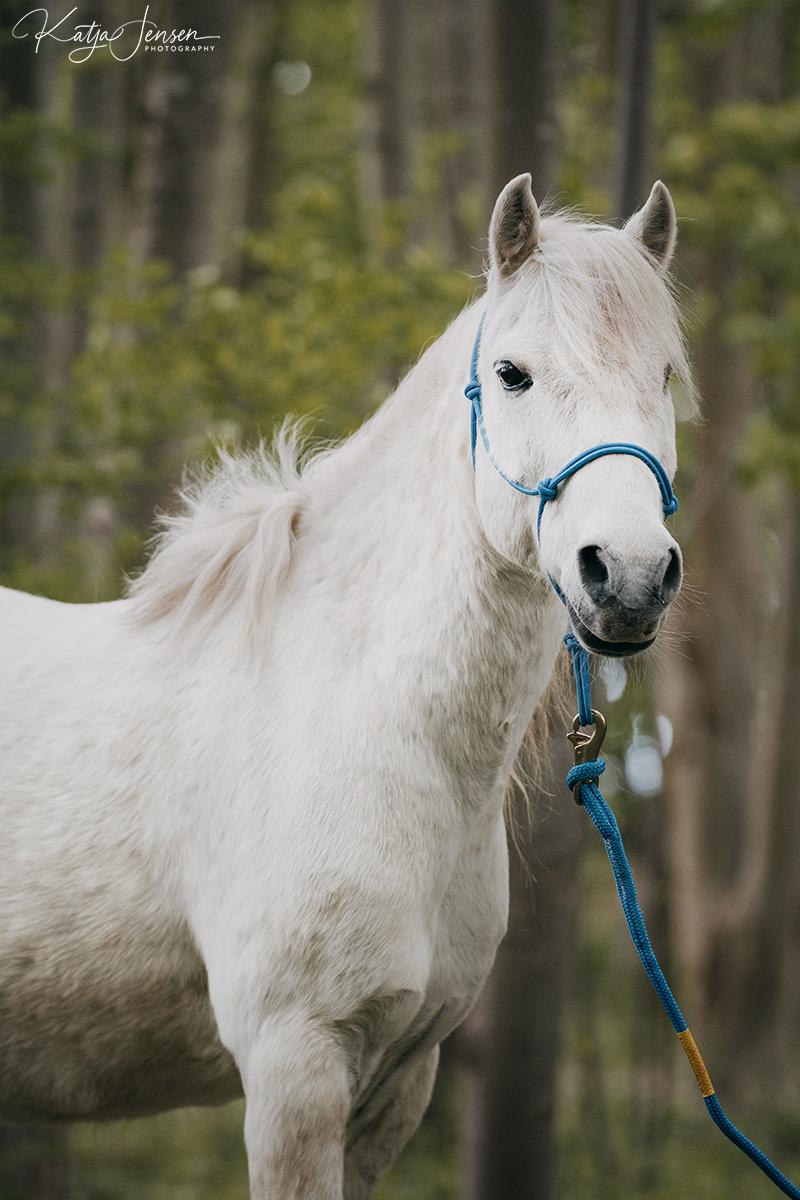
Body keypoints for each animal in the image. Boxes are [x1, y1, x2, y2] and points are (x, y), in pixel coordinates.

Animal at [0, 175, 690, 1200]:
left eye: (667, 378)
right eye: (514, 373)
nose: (633, 573)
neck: (352, 718)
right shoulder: (296, 1068)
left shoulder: (397, 1081)